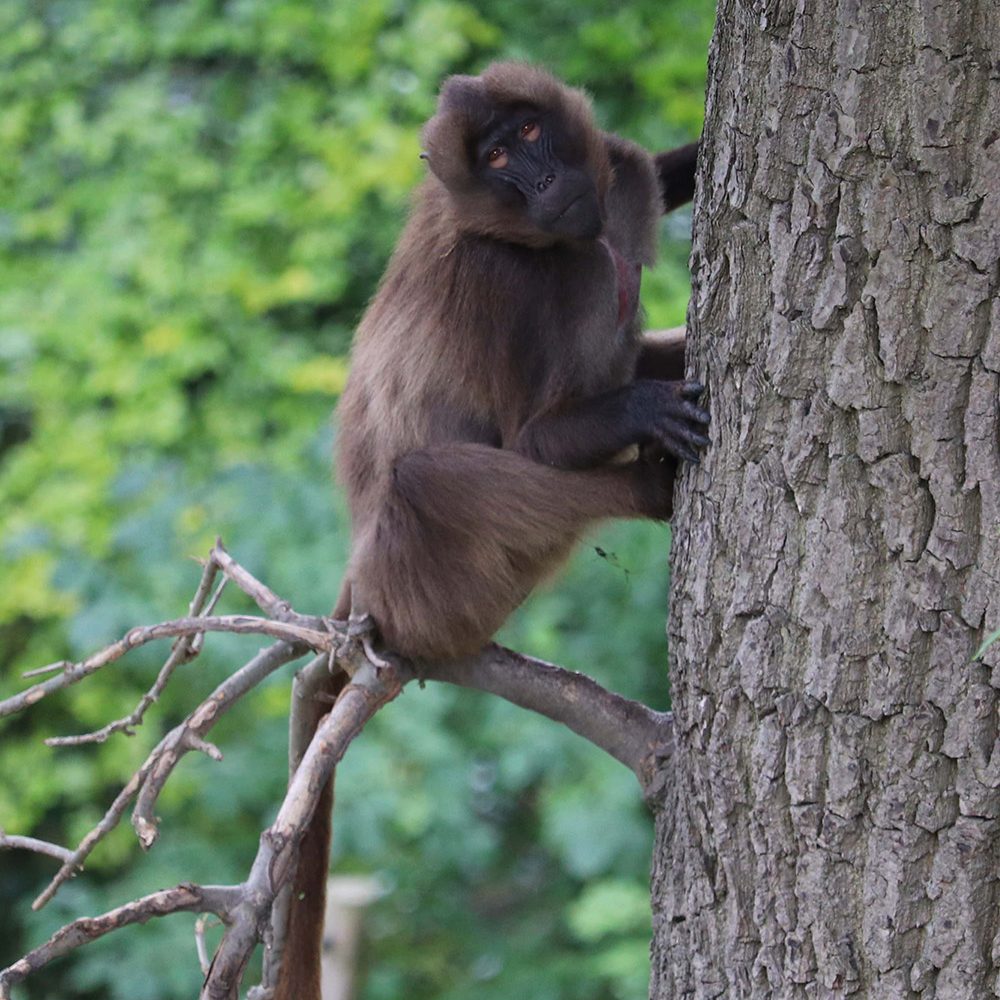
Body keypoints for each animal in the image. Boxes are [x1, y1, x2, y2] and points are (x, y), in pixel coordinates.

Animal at [274, 64, 708, 1000]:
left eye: (530, 135)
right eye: (501, 159)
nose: (541, 180)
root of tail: (361, 588)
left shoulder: (609, 188)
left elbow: (640, 170)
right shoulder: (513, 280)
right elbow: (532, 439)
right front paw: (642, 416)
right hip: (434, 586)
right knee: (431, 476)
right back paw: (645, 482)